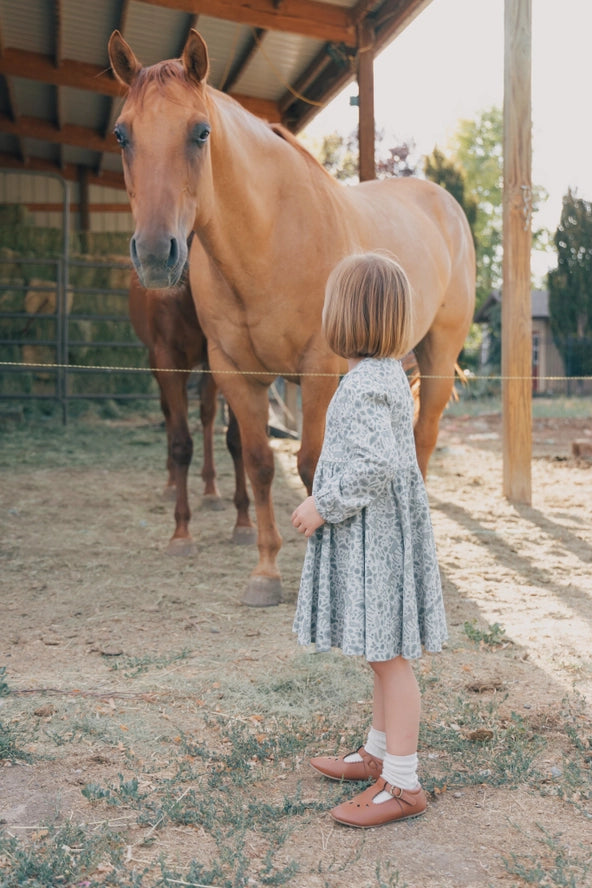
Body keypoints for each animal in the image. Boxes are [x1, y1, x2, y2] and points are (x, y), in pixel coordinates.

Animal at [128, 270, 253, 552]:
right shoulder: (168, 362)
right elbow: (181, 444)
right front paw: (181, 533)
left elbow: (236, 440)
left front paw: (243, 523)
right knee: (171, 414)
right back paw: (172, 484)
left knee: (207, 413)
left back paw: (210, 490)